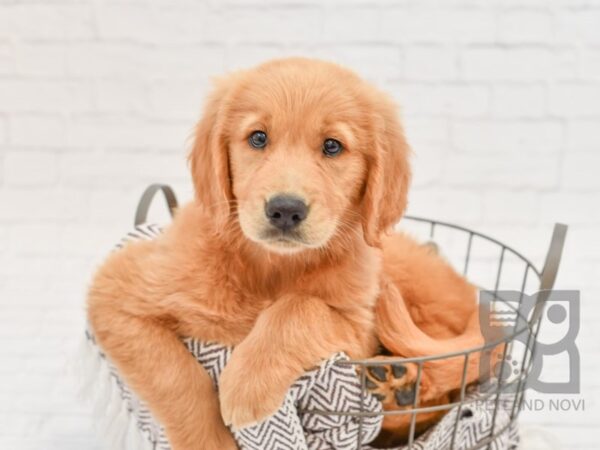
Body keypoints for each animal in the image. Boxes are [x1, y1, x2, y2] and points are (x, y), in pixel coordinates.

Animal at [86, 58, 486, 448]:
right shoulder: (116, 289)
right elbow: (175, 376)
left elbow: (300, 308)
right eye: (258, 138)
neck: (270, 265)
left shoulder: (358, 330)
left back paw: (397, 385)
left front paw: (246, 382)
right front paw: (209, 439)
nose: (285, 210)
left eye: (332, 146)